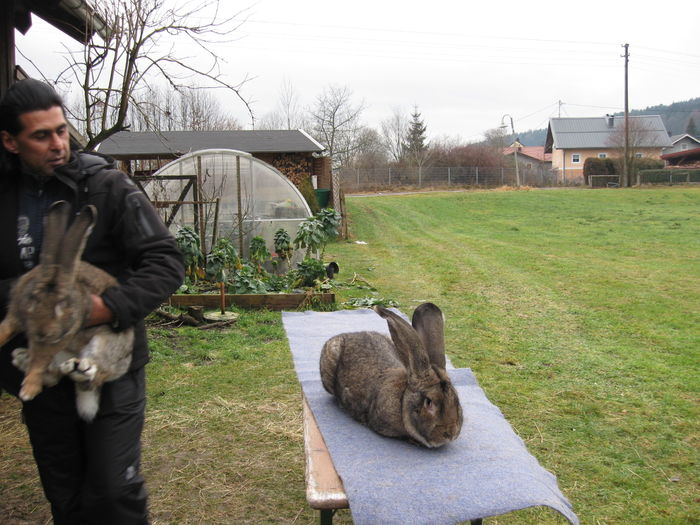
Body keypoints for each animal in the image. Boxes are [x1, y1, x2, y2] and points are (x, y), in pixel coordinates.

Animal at [0, 199, 134, 420]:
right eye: (33, 298)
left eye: (63, 304)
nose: (43, 331)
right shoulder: (16, 315)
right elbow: (6, 329)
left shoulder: (60, 336)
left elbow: (39, 361)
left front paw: (28, 390)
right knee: (56, 375)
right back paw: (25, 358)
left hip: (104, 344)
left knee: (94, 375)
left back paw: (81, 368)